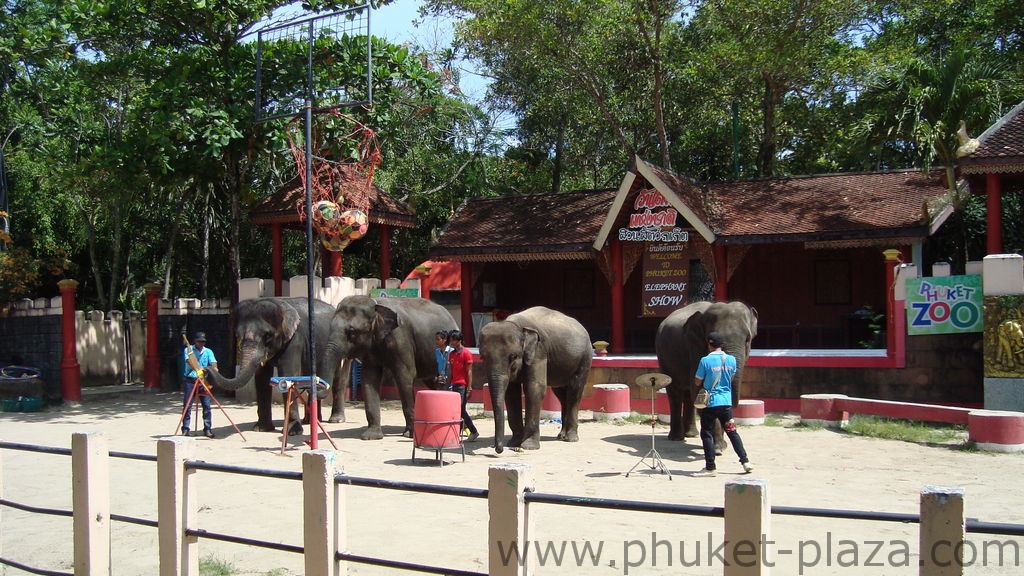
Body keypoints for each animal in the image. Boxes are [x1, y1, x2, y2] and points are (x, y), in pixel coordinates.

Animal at [205, 297, 346, 432]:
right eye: (237, 335)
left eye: (267, 336)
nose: (207, 369)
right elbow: (261, 379)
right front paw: (261, 429)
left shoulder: (295, 340)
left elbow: (287, 374)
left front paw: (293, 432)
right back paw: (310, 421)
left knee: (337, 379)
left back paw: (335, 420)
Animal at [323, 293, 456, 436]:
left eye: (352, 332)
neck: (375, 305)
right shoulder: (372, 347)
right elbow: (369, 378)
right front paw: (371, 436)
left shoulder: (400, 338)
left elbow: (405, 375)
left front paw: (409, 434)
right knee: (433, 382)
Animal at [477, 307, 593, 450]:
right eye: (482, 357)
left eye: (513, 356)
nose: (498, 449)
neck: (516, 324)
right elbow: (511, 393)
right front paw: (514, 443)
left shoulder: (539, 350)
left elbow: (534, 388)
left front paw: (528, 446)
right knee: (561, 395)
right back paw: (561, 436)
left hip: (584, 359)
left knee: (574, 392)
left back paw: (571, 438)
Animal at [651, 301, 757, 444]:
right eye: (710, 340)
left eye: (748, 339)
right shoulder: (694, 346)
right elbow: (699, 389)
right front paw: (719, 446)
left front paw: (721, 444)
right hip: (663, 356)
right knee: (675, 392)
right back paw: (676, 438)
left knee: (689, 395)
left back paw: (691, 434)